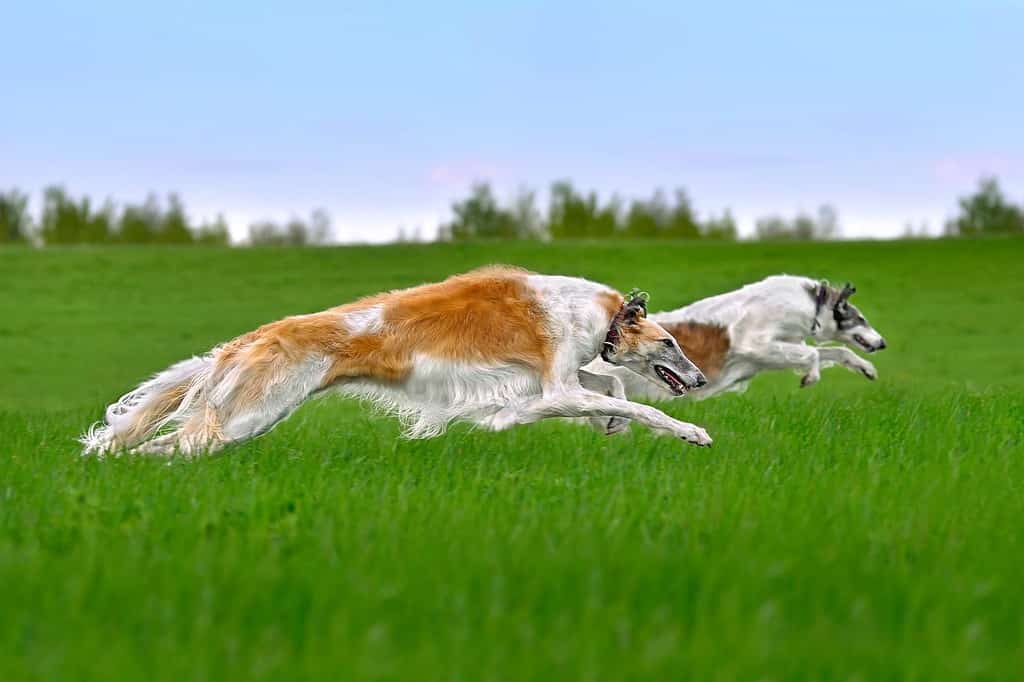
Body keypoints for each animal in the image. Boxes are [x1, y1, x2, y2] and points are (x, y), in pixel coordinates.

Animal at [81, 262, 712, 454]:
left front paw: (609, 423)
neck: (595, 313)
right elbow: (639, 404)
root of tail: (248, 339)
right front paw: (693, 432)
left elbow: (612, 388)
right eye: (671, 343)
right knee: (172, 445)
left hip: (246, 419)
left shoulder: (556, 380)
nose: (702, 379)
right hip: (249, 415)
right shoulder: (553, 386)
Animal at [585, 276, 888, 401]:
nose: (883, 343)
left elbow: (837, 352)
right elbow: (814, 354)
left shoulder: (772, 353)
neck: (811, 303)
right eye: (861, 318)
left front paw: (867, 369)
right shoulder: (755, 343)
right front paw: (810, 377)